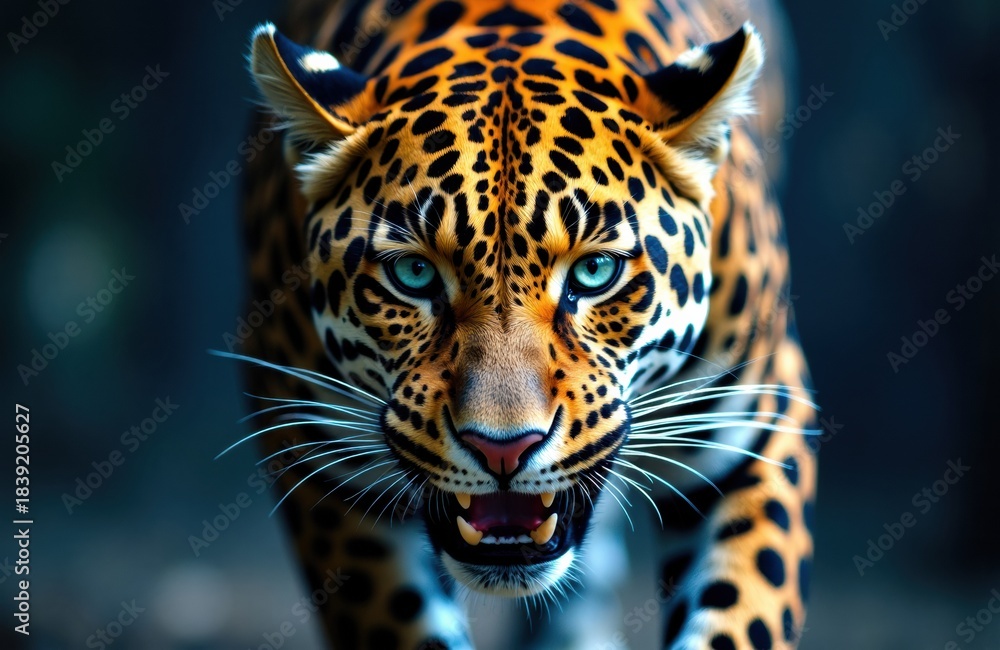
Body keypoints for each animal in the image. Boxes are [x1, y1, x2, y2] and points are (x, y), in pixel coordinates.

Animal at [228, 0, 817, 648]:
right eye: (413, 273)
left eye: (594, 272)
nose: (503, 450)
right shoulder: (317, 450)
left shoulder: (758, 427)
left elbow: (743, 614)